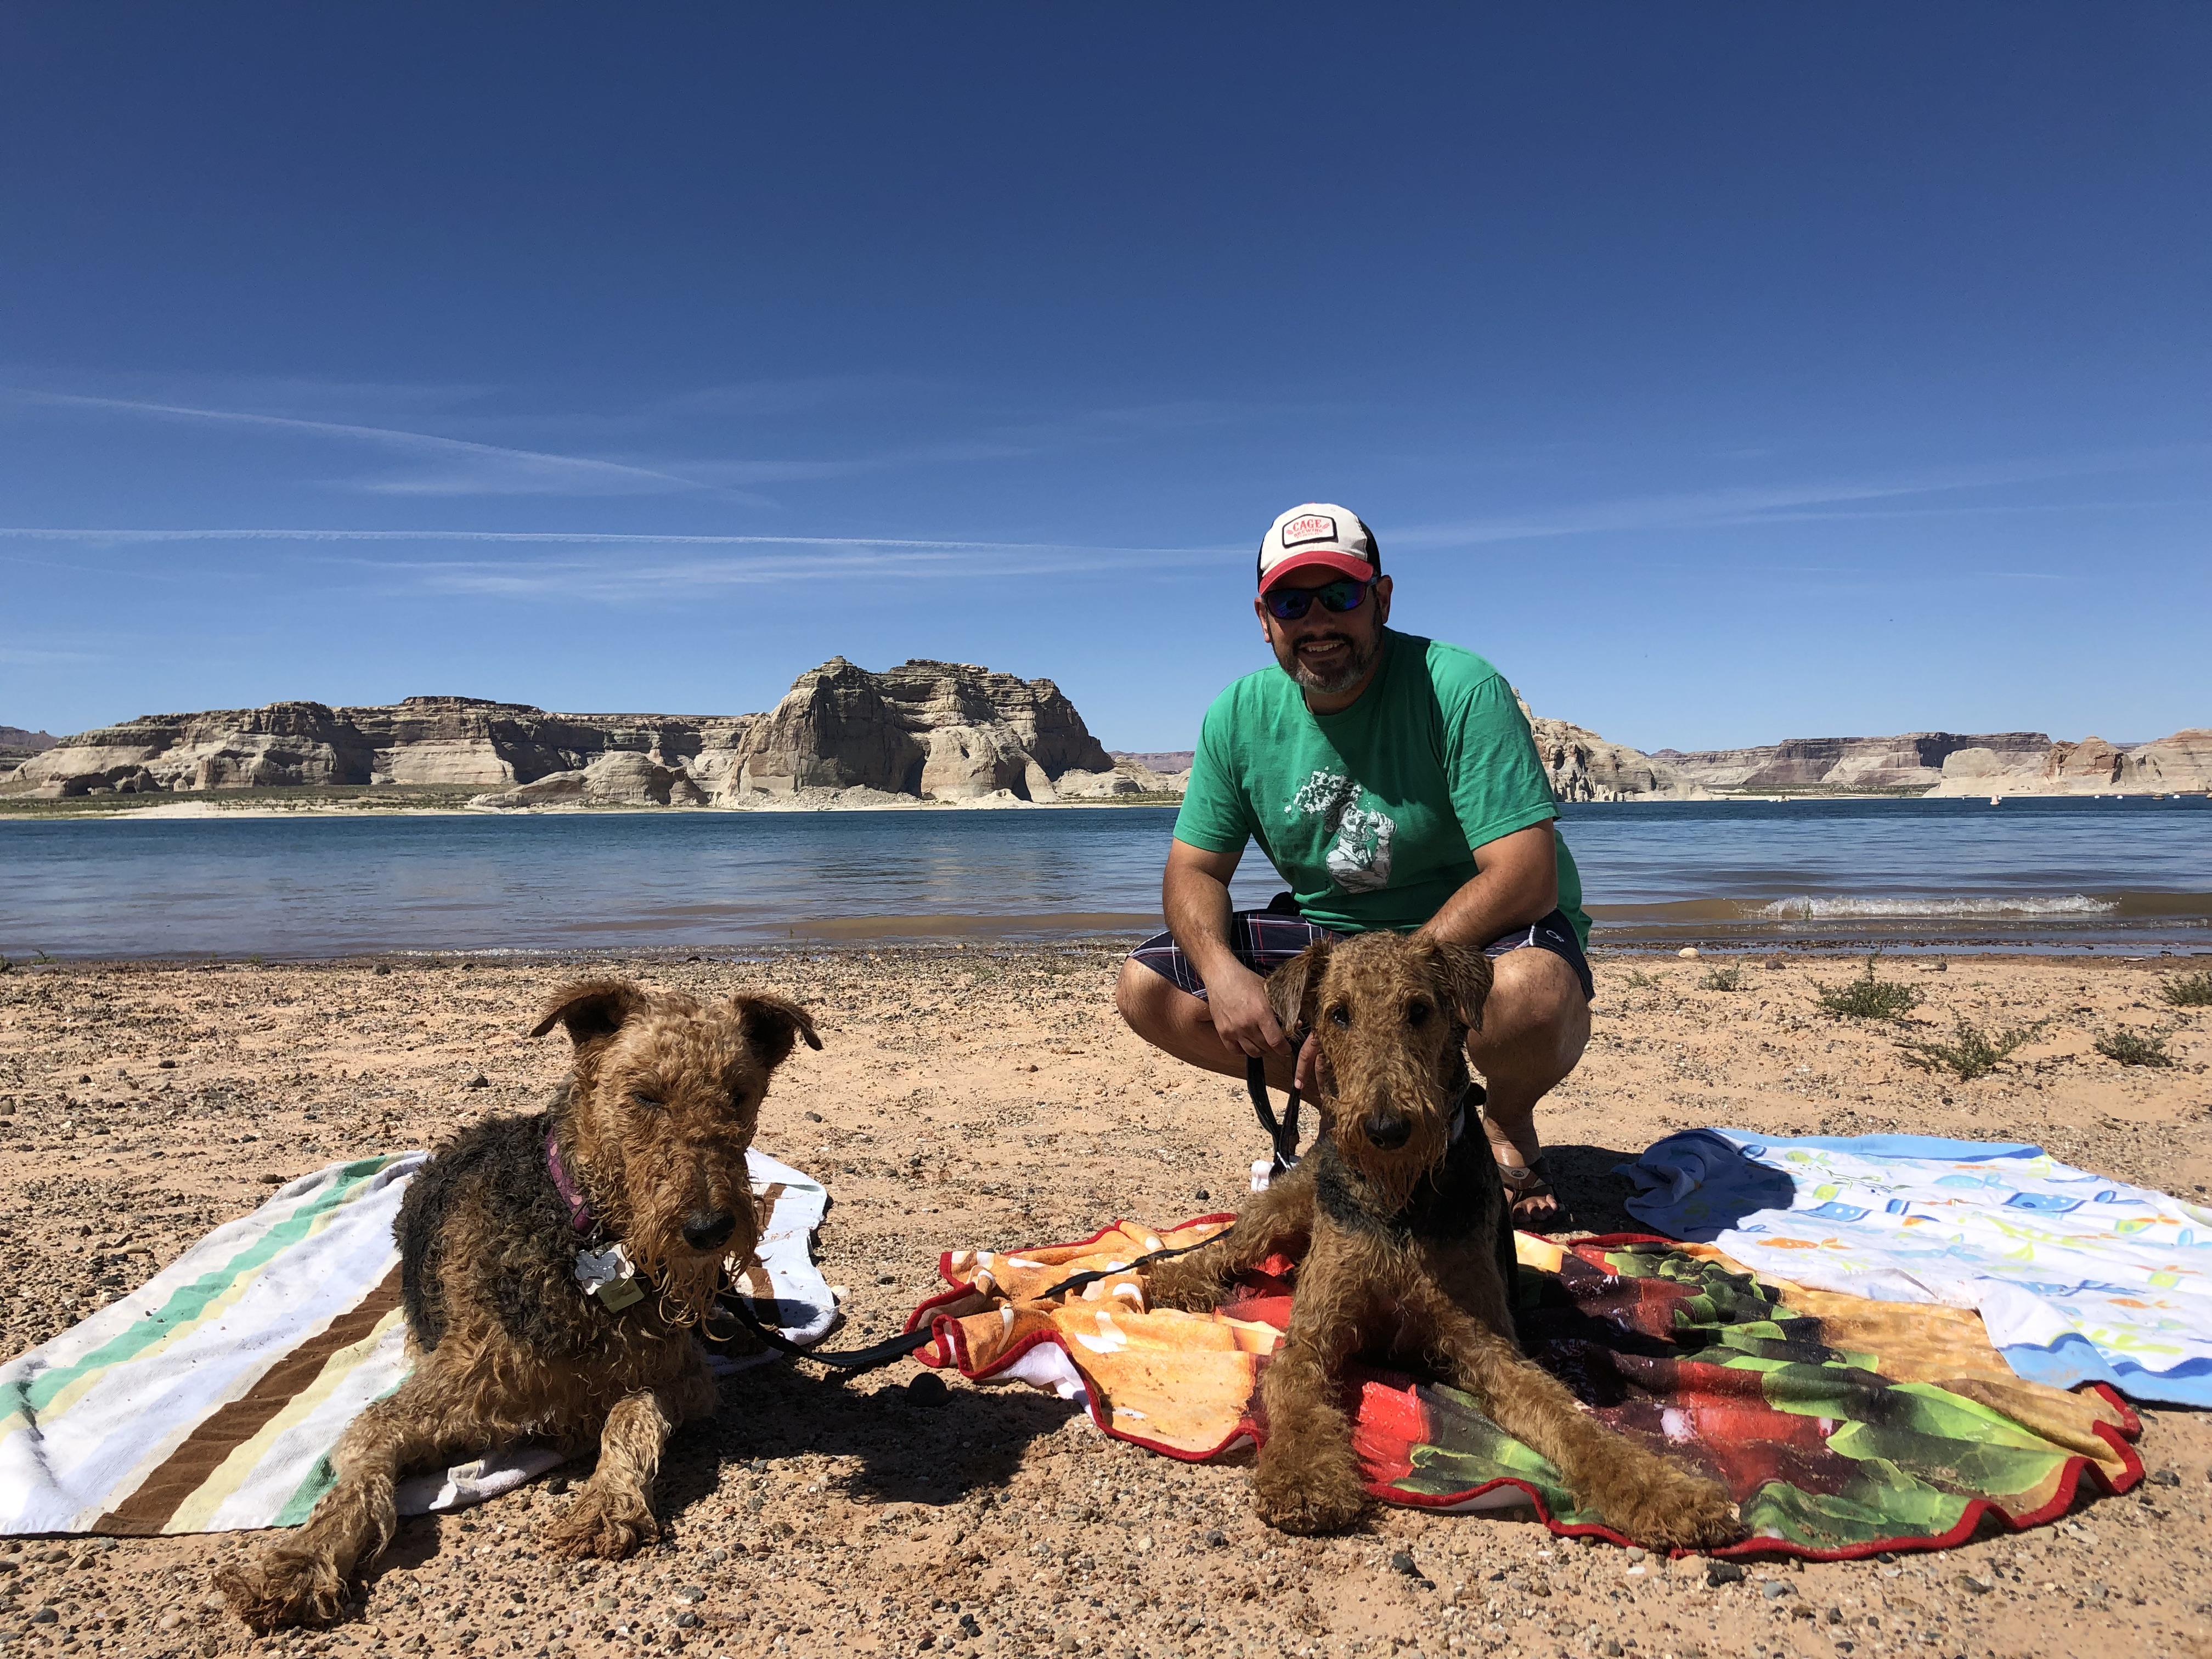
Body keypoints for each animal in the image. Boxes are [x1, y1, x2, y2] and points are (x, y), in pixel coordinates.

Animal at [216, 977, 821, 1630]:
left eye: (739, 1096)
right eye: (645, 1096)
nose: (709, 1229)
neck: (594, 1240)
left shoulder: (680, 1379)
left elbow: (630, 1413)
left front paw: (607, 1504)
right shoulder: (433, 1399)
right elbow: (358, 1471)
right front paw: (300, 1561)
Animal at [1145, 933, 1740, 1548]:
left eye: (1419, 1010)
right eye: (1338, 1014)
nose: (1387, 1131)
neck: (1401, 1207)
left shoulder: (1487, 1345)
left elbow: (1566, 1418)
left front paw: (1664, 1493)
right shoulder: (1313, 1335)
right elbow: (1298, 1399)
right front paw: (1305, 1479)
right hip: (1285, 1208)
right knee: (1226, 1244)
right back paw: (1174, 1277)